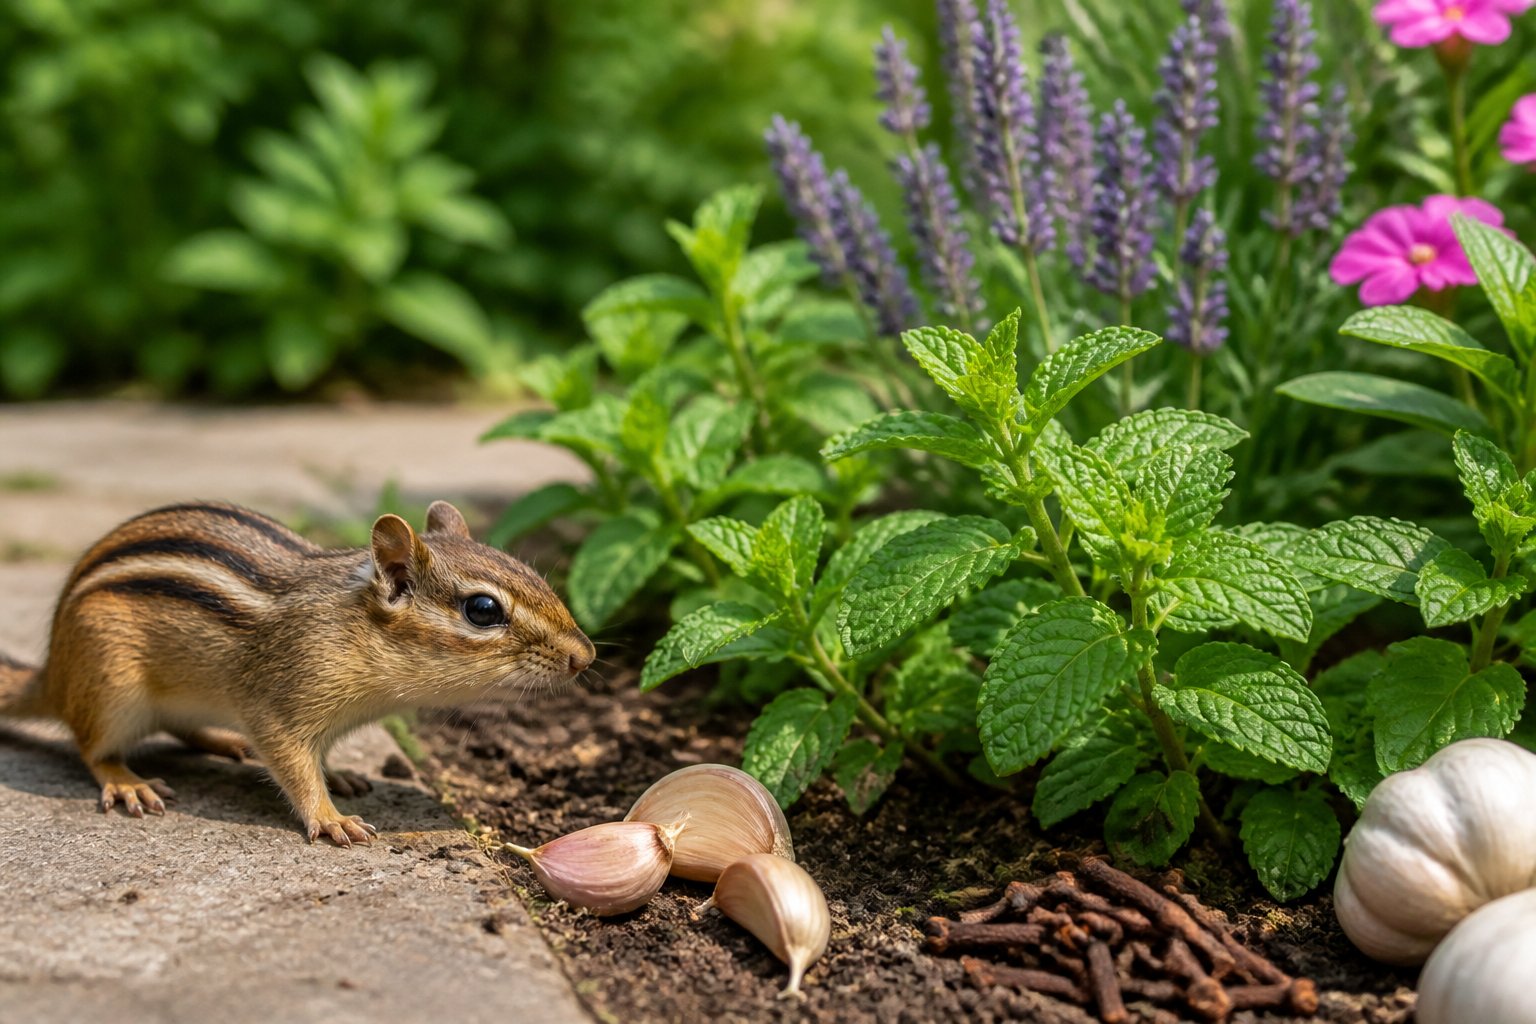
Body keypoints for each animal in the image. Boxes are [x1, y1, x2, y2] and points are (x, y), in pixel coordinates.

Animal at [0, 499, 594, 846]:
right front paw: (330, 817)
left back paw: (226, 741)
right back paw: (127, 782)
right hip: (111, 687)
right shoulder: (279, 705)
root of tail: (54, 671)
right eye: (483, 610)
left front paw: (342, 775)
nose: (584, 656)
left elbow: (317, 759)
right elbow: (294, 765)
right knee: (93, 748)